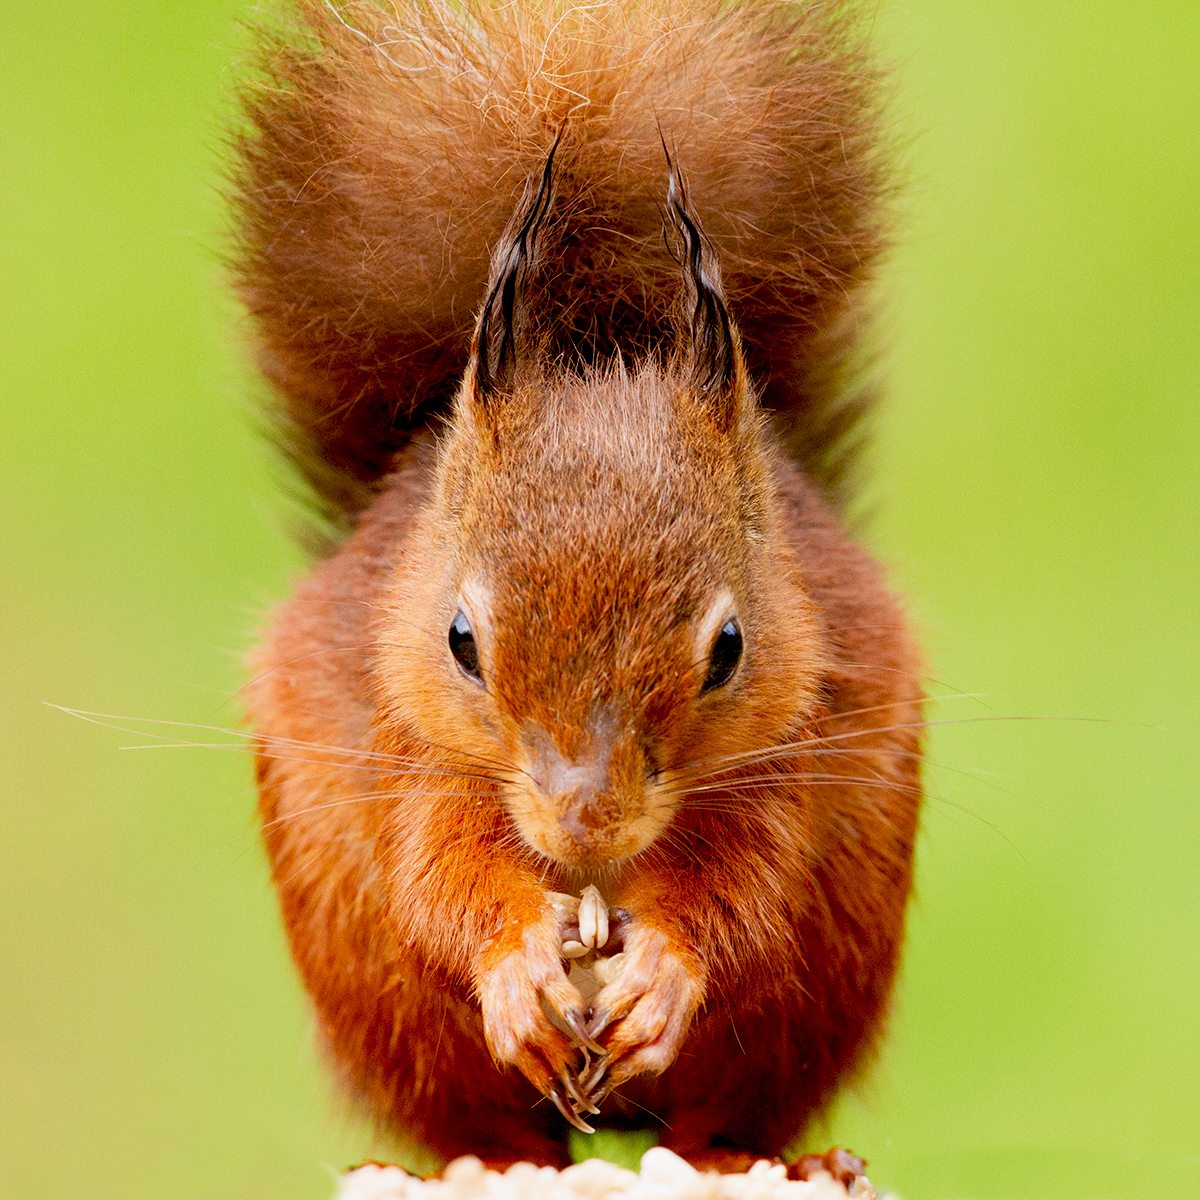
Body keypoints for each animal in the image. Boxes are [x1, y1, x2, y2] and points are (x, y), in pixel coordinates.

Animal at [236, 0, 926, 1171]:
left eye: (730, 649)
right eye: (459, 640)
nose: (585, 825)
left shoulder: (790, 749)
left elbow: (745, 887)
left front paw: (664, 973)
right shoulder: (412, 752)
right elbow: (441, 877)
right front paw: (517, 967)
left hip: (818, 990)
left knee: (725, 1106)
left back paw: (734, 1155)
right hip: (376, 990)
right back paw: (498, 1158)